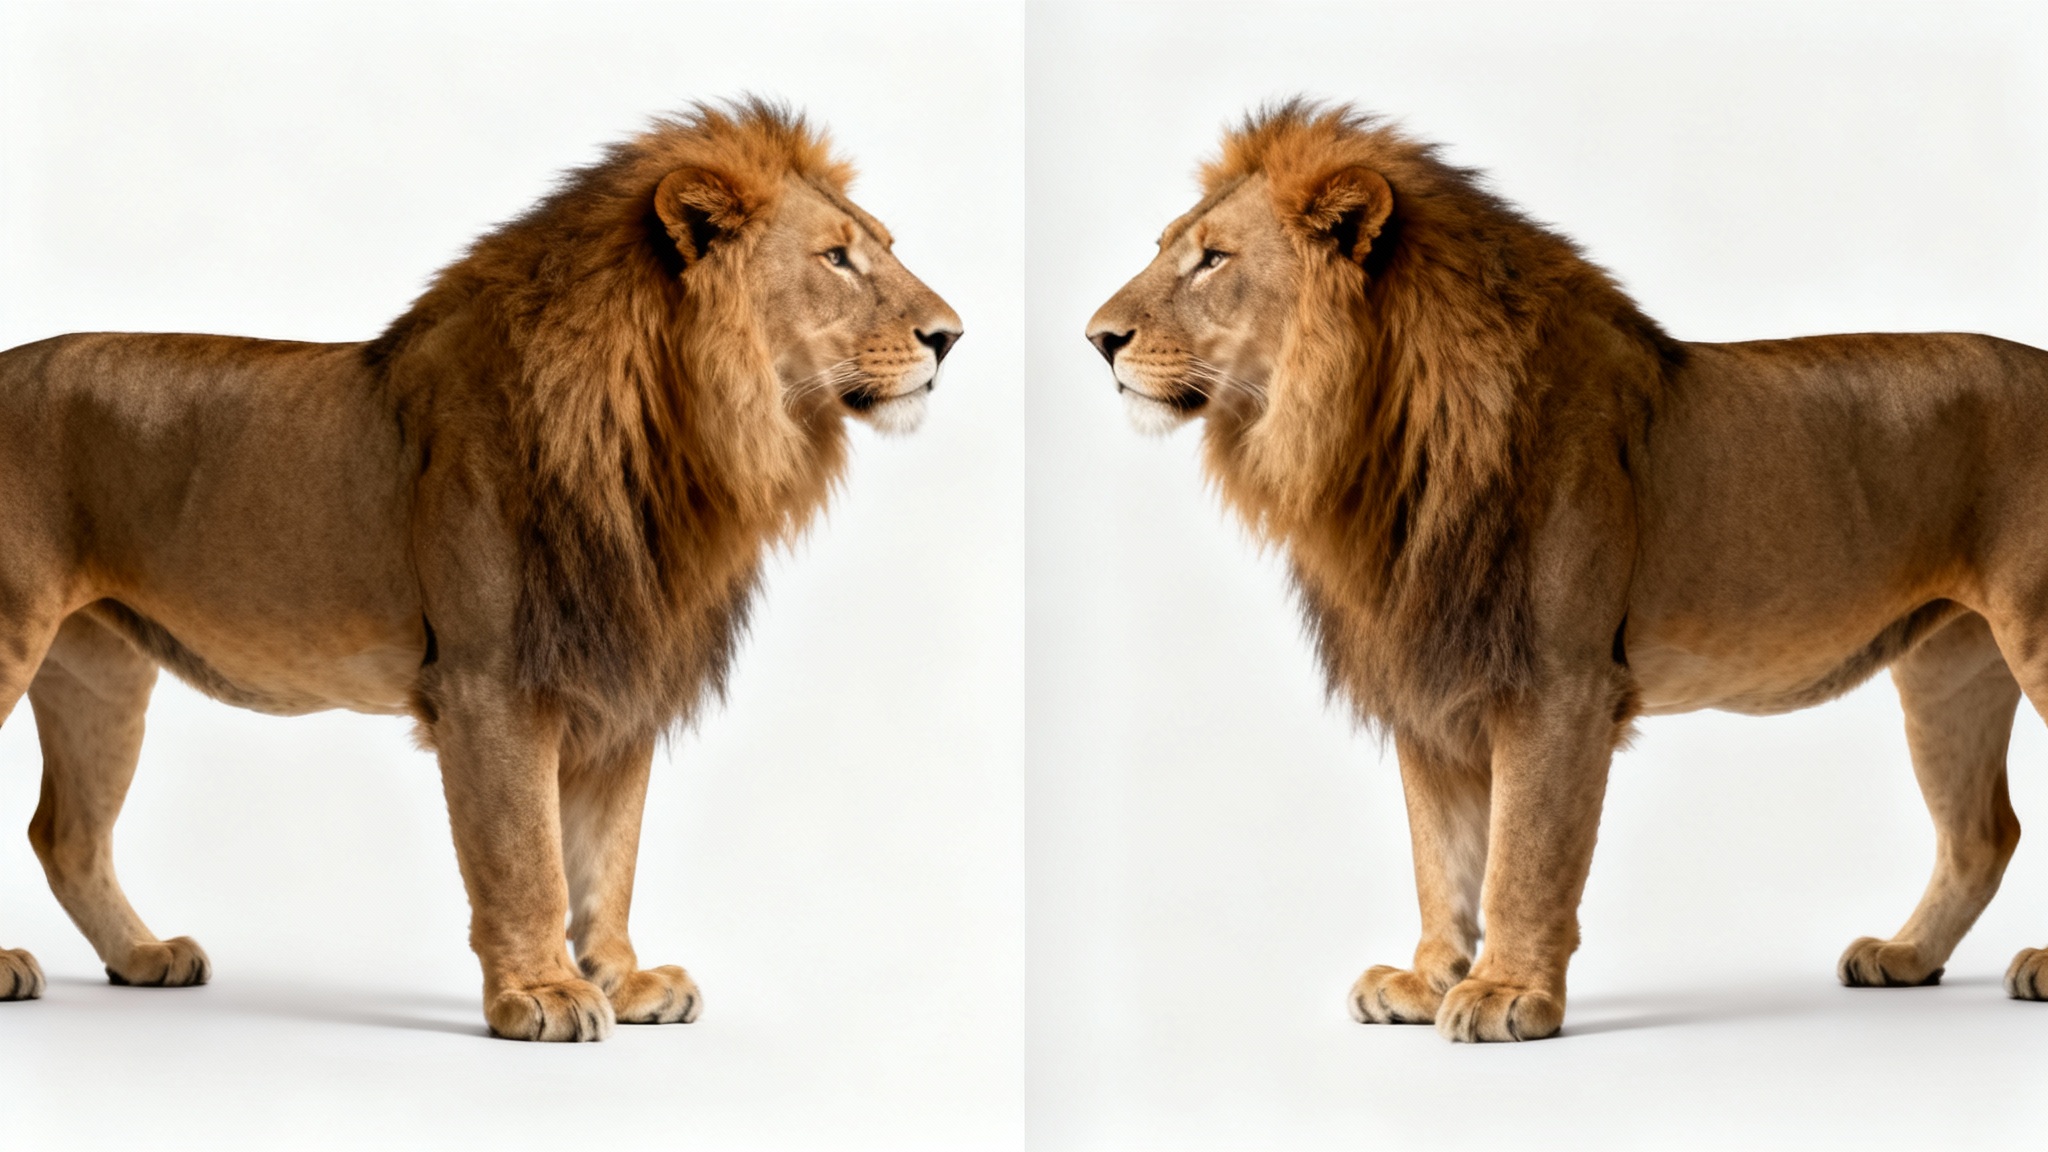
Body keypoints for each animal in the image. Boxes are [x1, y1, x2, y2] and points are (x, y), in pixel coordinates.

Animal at [0, 100, 962, 1040]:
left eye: (884, 244)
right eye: (836, 257)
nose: (952, 337)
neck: (677, 443)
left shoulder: (620, 679)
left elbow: (608, 854)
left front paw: (624, 978)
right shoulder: (492, 682)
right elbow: (526, 855)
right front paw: (541, 993)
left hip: (101, 675)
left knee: (66, 835)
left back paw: (144, 956)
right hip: (16, 637)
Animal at [1086, 100, 2048, 1042]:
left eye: (1213, 259)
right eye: (1166, 246)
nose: (1097, 340)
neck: (1372, 441)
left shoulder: (1558, 683)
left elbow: (1524, 853)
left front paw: (1508, 993)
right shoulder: (1429, 678)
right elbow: (1441, 853)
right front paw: (1427, 979)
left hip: (2031, 640)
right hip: (1947, 672)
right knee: (1982, 834)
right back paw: (1905, 956)